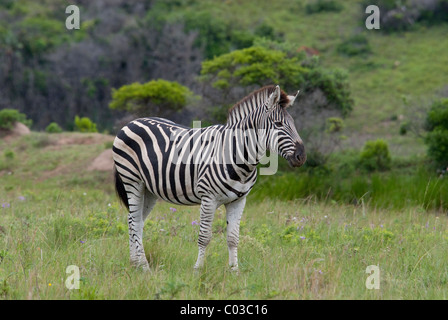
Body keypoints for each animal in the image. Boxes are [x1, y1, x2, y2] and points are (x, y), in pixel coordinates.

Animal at [114, 84, 306, 272]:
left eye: (293, 124)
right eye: (278, 124)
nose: (301, 157)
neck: (237, 155)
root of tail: (133, 121)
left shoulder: (239, 200)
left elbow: (233, 238)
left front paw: (234, 271)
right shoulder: (209, 198)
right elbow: (204, 237)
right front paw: (198, 269)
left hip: (150, 189)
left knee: (135, 221)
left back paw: (135, 263)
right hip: (132, 181)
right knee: (134, 221)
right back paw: (144, 266)